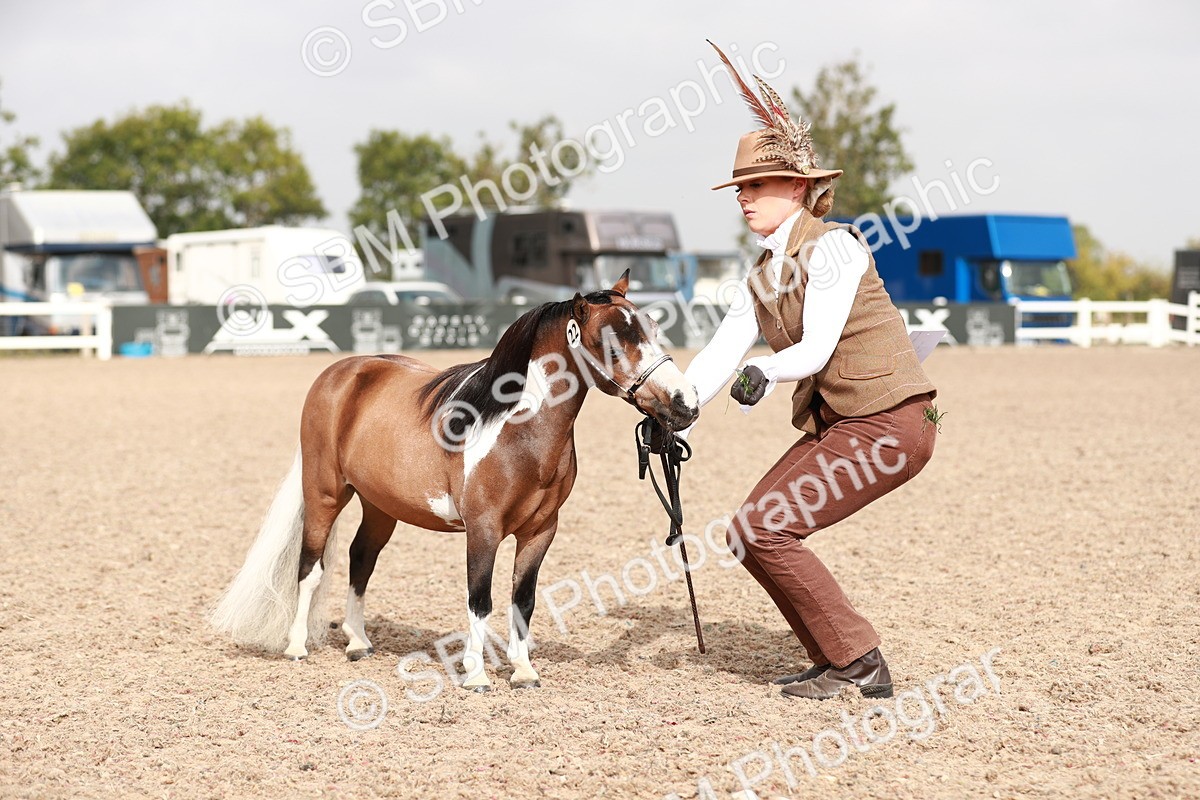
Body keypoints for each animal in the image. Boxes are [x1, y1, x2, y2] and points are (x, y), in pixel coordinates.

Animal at [209, 272, 699, 691]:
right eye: (610, 340)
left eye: (653, 327)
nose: (684, 403)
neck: (515, 429)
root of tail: (340, 374)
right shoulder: (483, 530)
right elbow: (479, 600)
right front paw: (476, 674)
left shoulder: (541, 531)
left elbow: (523, 600)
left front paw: (523, 671)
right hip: (325, 493)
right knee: (311, 566)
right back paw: (296, 646)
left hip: (379, 506)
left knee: (360, 560)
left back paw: (358, 643)